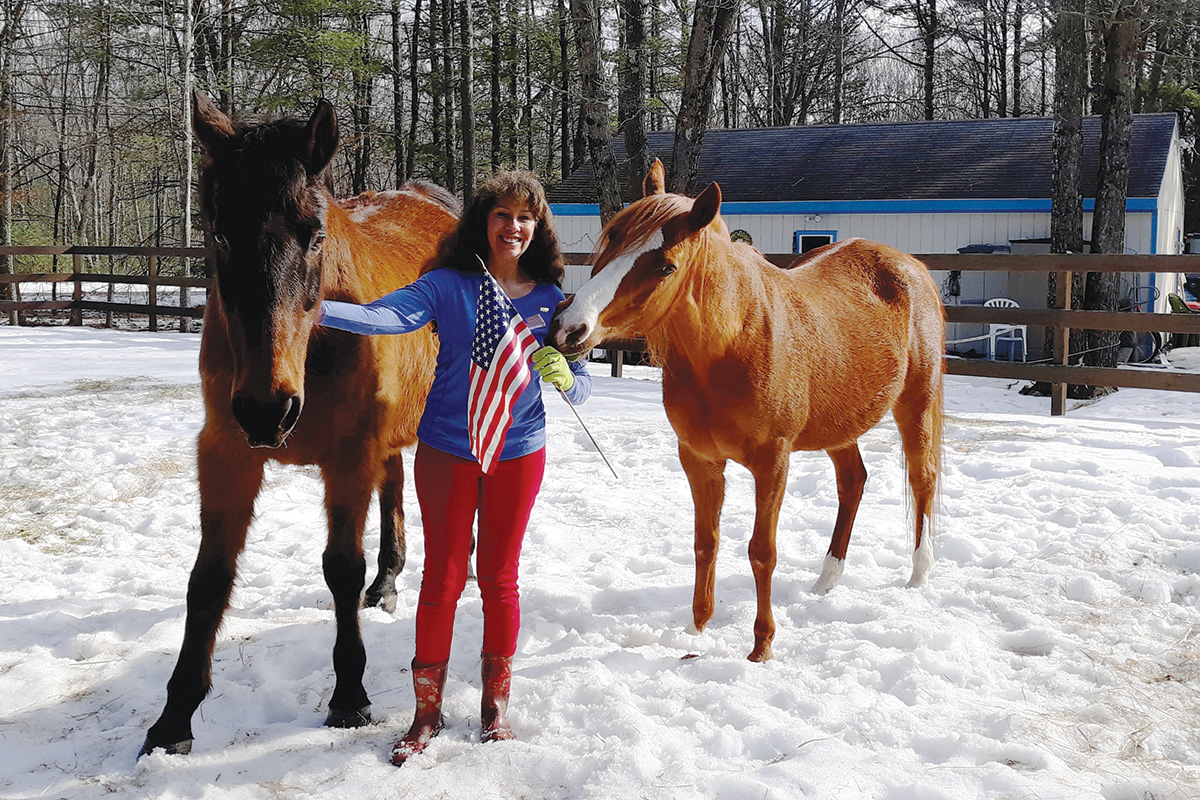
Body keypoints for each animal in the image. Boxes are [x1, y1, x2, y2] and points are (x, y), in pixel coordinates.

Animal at [138, 95, 456, 758]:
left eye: (315, 235)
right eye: (220, 234)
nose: (268, 408)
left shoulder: (348, 456)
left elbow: (341, 567)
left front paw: (350, 696)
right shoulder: (226, 451)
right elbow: (209, 578)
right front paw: (174, 718)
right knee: (394, 482)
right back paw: (389, 582)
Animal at [547, 160, 945, 662]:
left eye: (666, 266)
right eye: (611, 240)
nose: (568, 327)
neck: (732, 345)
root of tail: (910, 265)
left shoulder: (772, 463)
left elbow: (762, 551)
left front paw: (762, 646)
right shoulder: (699, 461)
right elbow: (706, 541)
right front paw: (697, 629)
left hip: (916, 402)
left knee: (922, 477)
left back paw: (919, 574)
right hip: (840, 424)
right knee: (853, 481)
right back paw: (826, 579)